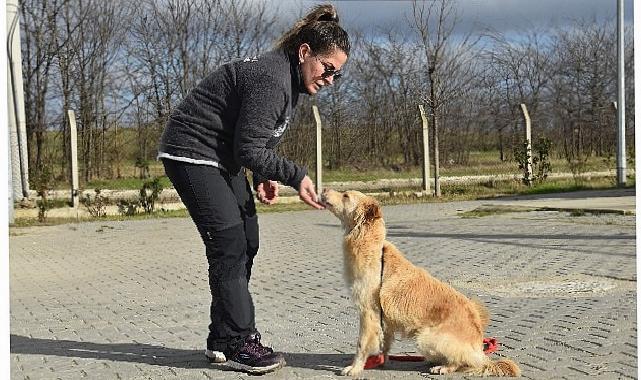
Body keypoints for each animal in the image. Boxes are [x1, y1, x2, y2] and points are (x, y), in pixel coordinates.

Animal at [320, 190, 520, 378]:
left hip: (425, 337)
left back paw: (443, 367)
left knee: (462, 362)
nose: (323, 190)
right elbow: (384, 343)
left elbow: (361, 344)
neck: (373, 250)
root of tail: (479, 346)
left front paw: (355, 368)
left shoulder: (368, 312)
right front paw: (380, 361)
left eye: (346, 196)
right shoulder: (384, 320)